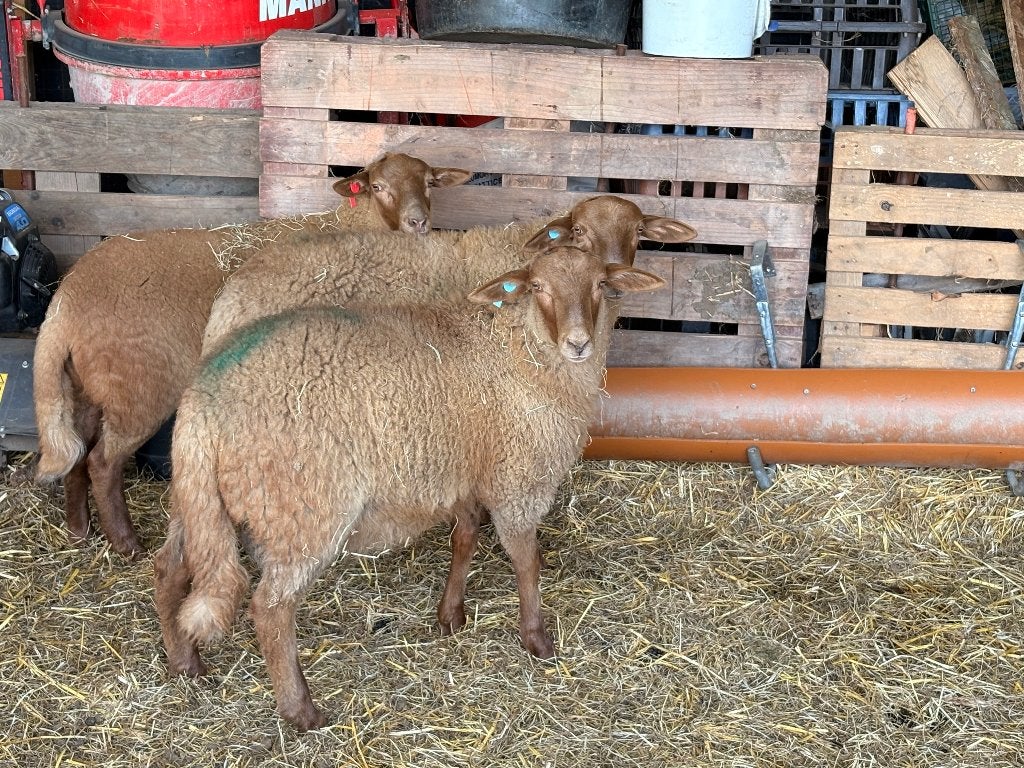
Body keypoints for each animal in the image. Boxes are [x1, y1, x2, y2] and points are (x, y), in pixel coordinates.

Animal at [32, 152, 472, 556]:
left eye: (429, 183)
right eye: (378, 186)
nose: (418, 222)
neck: (354, 225)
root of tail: (64, 304)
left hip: (86, 385)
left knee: (77, 451)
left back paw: (79, 528)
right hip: (137, 389)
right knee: (102, 462)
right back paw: (126, 544)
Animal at [153, 243, 666, 731]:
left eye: (600, 284)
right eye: (537, 286)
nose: (579, 343)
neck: (521, 346)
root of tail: (201, 405)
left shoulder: (464, 473)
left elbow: (464, 540)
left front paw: (450, 615)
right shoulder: (517, 478)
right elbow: (526, 561)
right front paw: (536, 638)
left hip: (200, 497)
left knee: (169, 568)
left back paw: (184, 662)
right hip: (302, 508)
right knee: (271, 608)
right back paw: (300, 710)